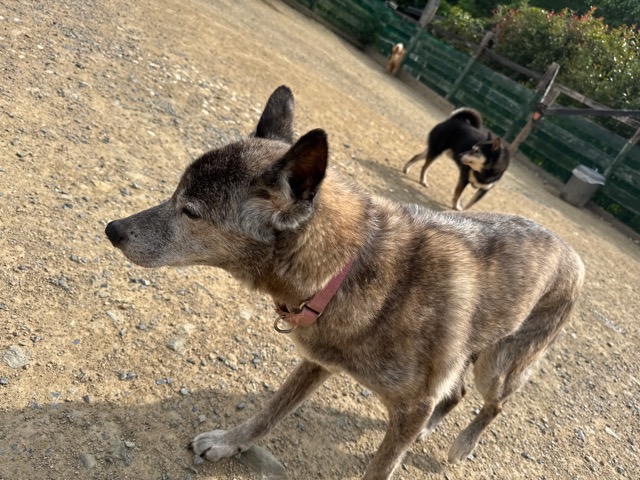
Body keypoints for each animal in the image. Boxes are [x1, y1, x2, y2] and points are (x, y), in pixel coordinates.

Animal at [105, 86, 584, 480]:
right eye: (176, 192)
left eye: (191, 212)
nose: (112, 229)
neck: (346, 269)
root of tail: (573, 254)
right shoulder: (319, 360)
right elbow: (271, 410)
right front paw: (229, 442)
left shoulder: (412, 406)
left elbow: (379, 468)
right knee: (457, 391)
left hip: (498, 365)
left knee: (494, 402)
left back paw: (464, 443)